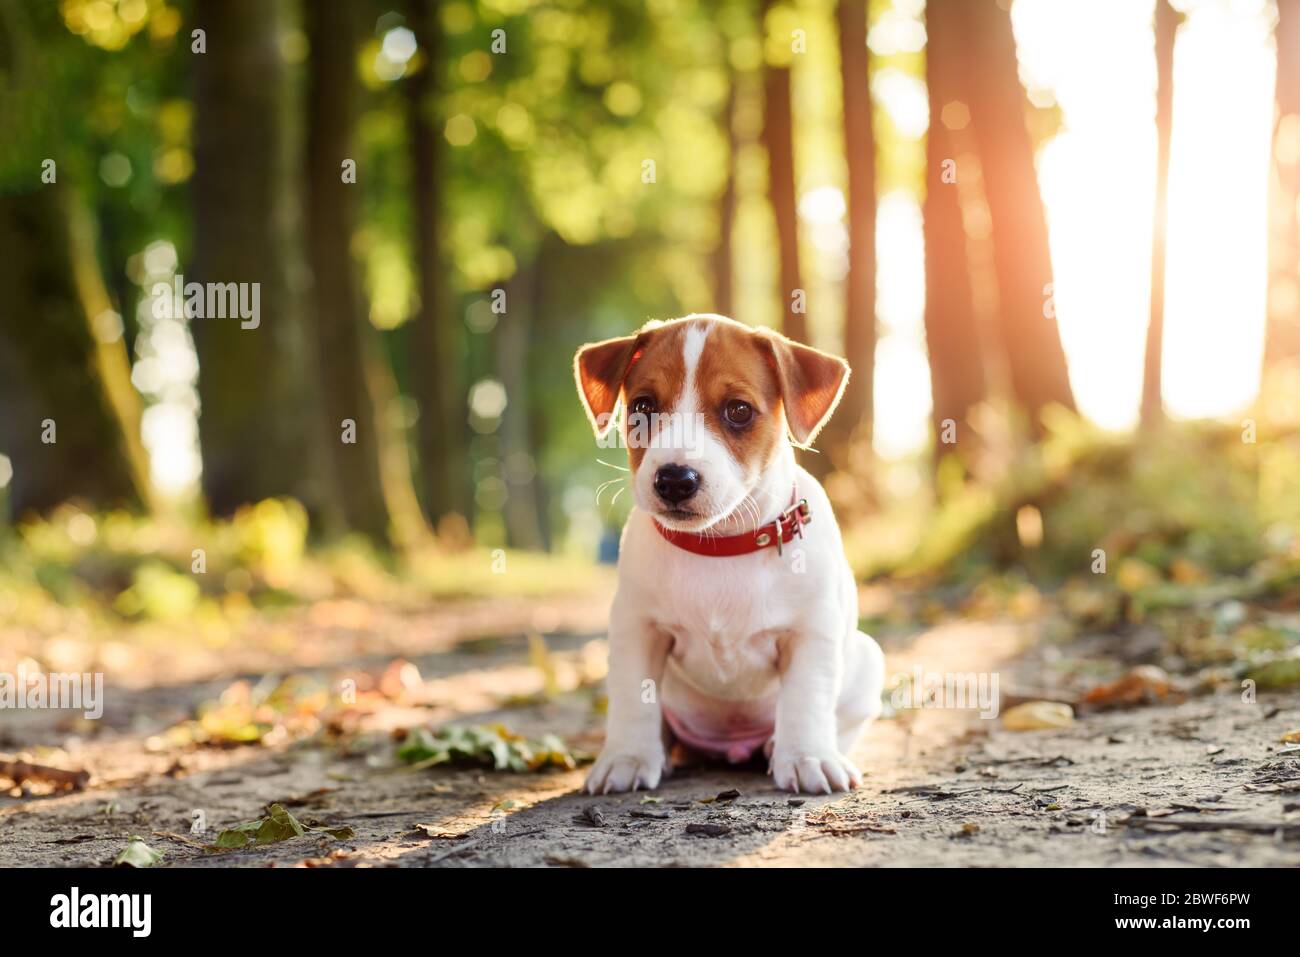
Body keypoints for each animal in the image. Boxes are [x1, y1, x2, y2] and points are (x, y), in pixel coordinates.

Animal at [577, 312, 889, 790]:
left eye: (738, 411)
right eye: (643, 407)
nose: (674, 480)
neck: (720, 545)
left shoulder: (811, 633)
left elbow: (807, 697)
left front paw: (808, 756)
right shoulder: (637, 629)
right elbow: (634, 697)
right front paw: (628, 757)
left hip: (868, 661)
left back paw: (781, 746)